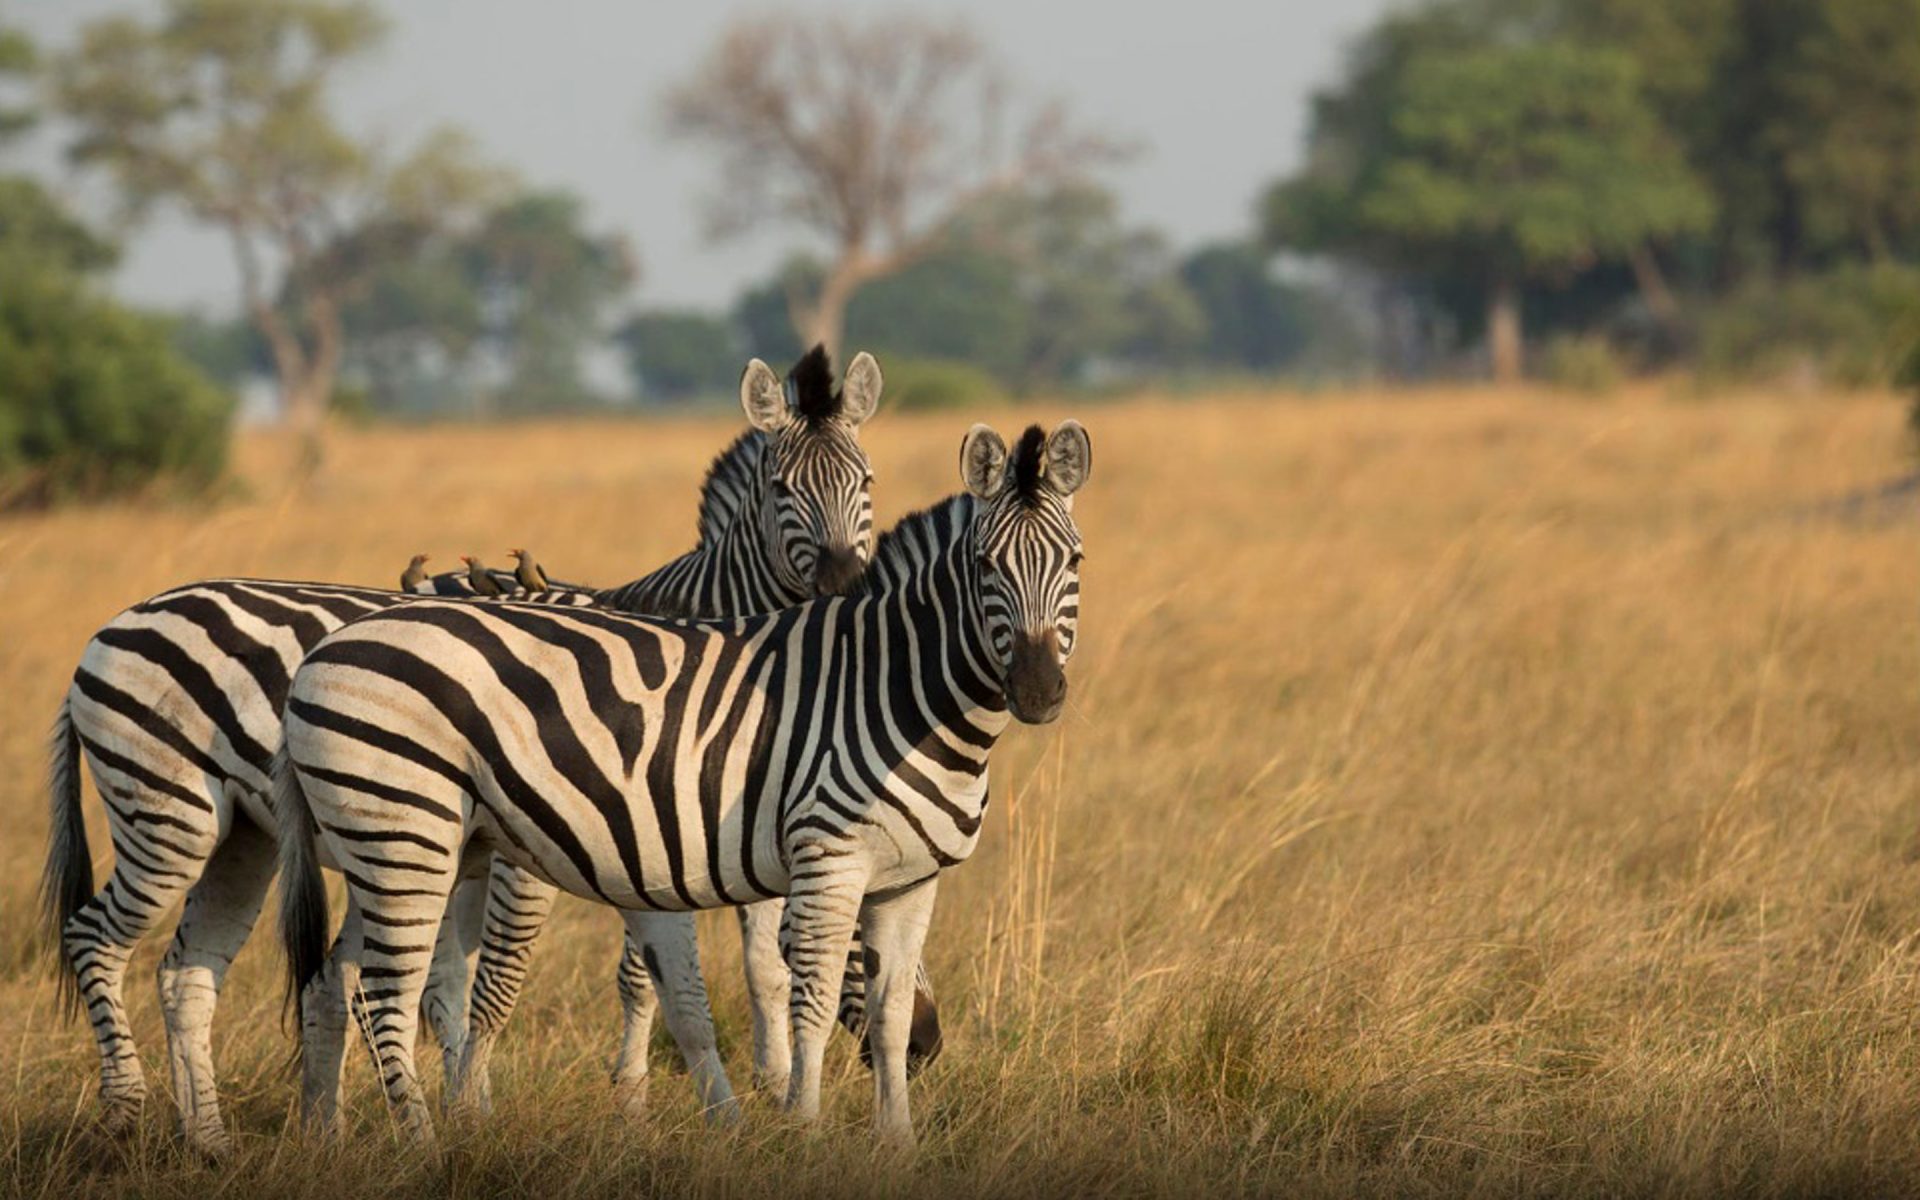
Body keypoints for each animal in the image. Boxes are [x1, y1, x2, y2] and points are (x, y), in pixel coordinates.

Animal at [37, 347, 899, 1156]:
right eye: (781, 488)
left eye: (868, 481)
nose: (845, 584)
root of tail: (116, 622)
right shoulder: (549, 851)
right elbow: (504, 983)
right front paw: (483, 1114)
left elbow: (734, 965)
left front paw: (754, 1093)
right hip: (169, 817)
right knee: (96, 938)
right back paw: (124, 1112)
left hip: (243, 841)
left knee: (188, 974)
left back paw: (210, 1140)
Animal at [276, 419, 1091, 1145]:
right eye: (985, 565)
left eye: (1076, 563)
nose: (1038, 691)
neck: (892, 689)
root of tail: (327, 647)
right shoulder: (827, 861)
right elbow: (814, 1000)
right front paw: (805, 1134)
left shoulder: (910, 879)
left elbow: (883, 1015)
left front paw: (898, 1147)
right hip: (406, 835)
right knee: (385, 995)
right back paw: (425, 1148)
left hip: (396, 846)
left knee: (331, 979)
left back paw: (327, 1138)